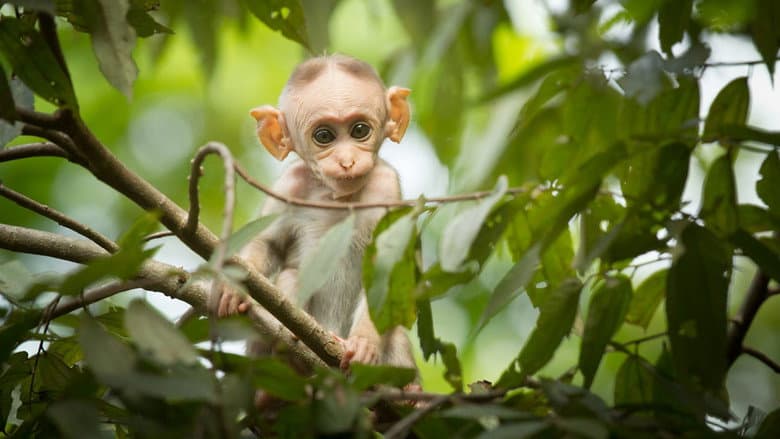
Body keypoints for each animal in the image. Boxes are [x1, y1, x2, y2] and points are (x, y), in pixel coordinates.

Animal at [218, 54, 418, 376]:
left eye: (360, 130)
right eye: (324, 136)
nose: (347, 161)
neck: (336, 197)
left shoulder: (386, 188)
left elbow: (385, 268)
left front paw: (364, 345)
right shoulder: (289, 187)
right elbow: (268, 243)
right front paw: (233, 287)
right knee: (291, 275)